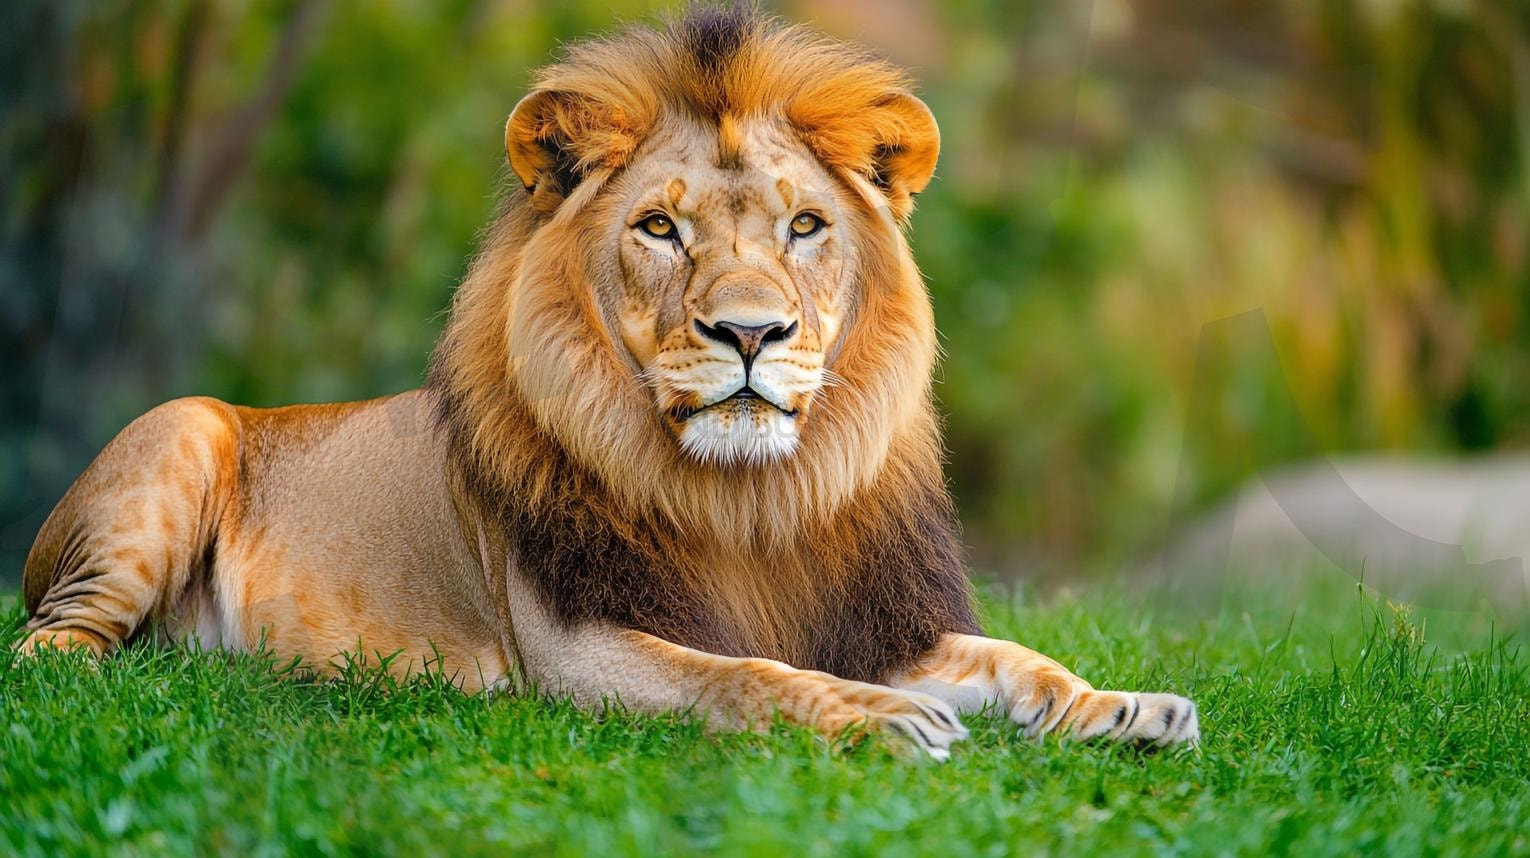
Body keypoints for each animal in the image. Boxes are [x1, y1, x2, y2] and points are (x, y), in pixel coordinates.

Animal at [18, 8, 1198, 757]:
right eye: (660, 228)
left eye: (805, 226)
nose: (750, 332)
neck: (750, 502)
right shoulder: (578, 652)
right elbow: (743, 678)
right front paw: (879, 720)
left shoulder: (865, 623)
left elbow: (1020, 661)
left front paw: (1124, 709)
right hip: (174, 435)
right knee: (43, 647)